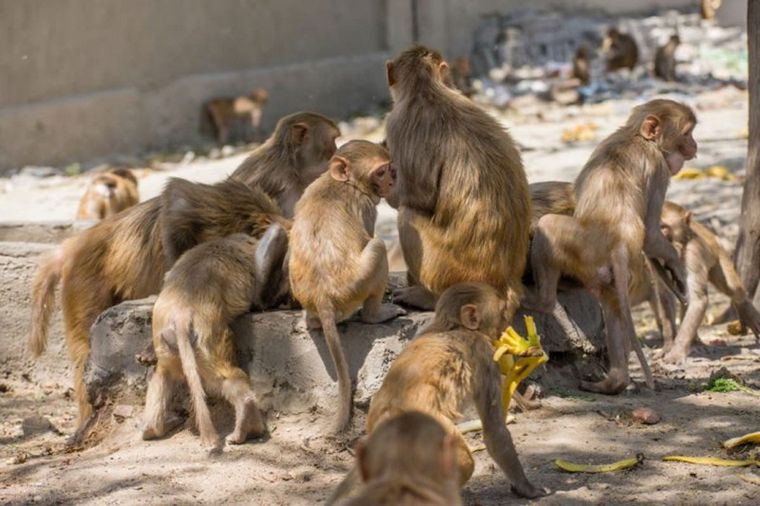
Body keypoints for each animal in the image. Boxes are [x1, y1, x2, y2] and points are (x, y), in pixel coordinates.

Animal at [142, 224, 289, 447]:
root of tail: (182, 313)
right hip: (207, 338)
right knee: (226, 377)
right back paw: (248, 419)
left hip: (170, 342)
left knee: (163, 374)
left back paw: (152, 429)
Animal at [289, 140, 406, 432]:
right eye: (380, 172)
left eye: (388, 169)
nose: (391, 181)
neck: (341, 182)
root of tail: (323, 298)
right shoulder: (367, 206)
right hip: (355, 288)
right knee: (378, 247)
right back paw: (376, 314)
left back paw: (313, 321)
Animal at [384, 46, 531, 317]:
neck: (427, 88)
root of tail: (503, 284)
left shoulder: (396, 123)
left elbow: (419, 196)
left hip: (447, 268)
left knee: (407, 214)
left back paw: (428, 297)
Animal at [526, 100, 697, 394]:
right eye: (687, 134)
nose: (695, 145)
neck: (636, 137)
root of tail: (619, 240)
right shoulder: (659, 166)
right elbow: (651, 234)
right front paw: (675, 268)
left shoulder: (659, 167)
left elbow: (651, 233)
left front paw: (674, 268)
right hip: (602, 265)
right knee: (614, 304)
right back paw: (615, 381)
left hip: (582, 250)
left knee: (548, 225)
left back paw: (543, 303)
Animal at [659, 202, 760, 364]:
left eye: (664, 227)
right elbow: (665, 294)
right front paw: (668, 346)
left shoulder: (692, 254)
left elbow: (698, 300)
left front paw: (676, 353)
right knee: (683, 296)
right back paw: (695, 343)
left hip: (718, 254)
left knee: (732, 289)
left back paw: (746, 308)